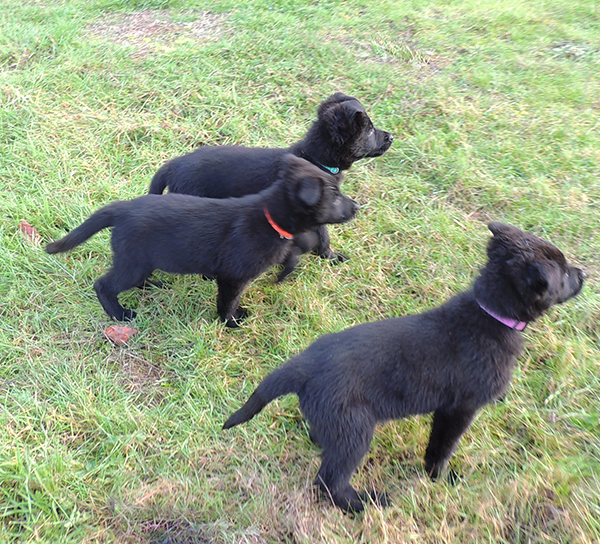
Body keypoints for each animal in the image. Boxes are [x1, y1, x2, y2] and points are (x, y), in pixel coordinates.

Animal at [48, 156, 356, 328]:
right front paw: (232, 323)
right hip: (132, 261)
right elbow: (227, 302)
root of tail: (122, 209)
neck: (269, 216)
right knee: (104, 285)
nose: (358, 207)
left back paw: (153, 286)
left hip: (141, 259)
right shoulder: (233, 276)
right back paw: (120, 315)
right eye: (335, 196)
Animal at [149, 92, 394, 280]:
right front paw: (331, 257)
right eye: (369, 130)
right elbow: (324, 237)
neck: (315, 157)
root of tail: (173, 165)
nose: (391, 136)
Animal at [223, 222, 584, 510]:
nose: (585, 273)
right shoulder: (459, 409)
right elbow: (442, 447)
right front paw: (440, 478)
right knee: (329, 480)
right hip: (355, 431)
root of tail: (305, 364)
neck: (490, 312)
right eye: (565, 271)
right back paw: (363, 503)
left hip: (337, 423)